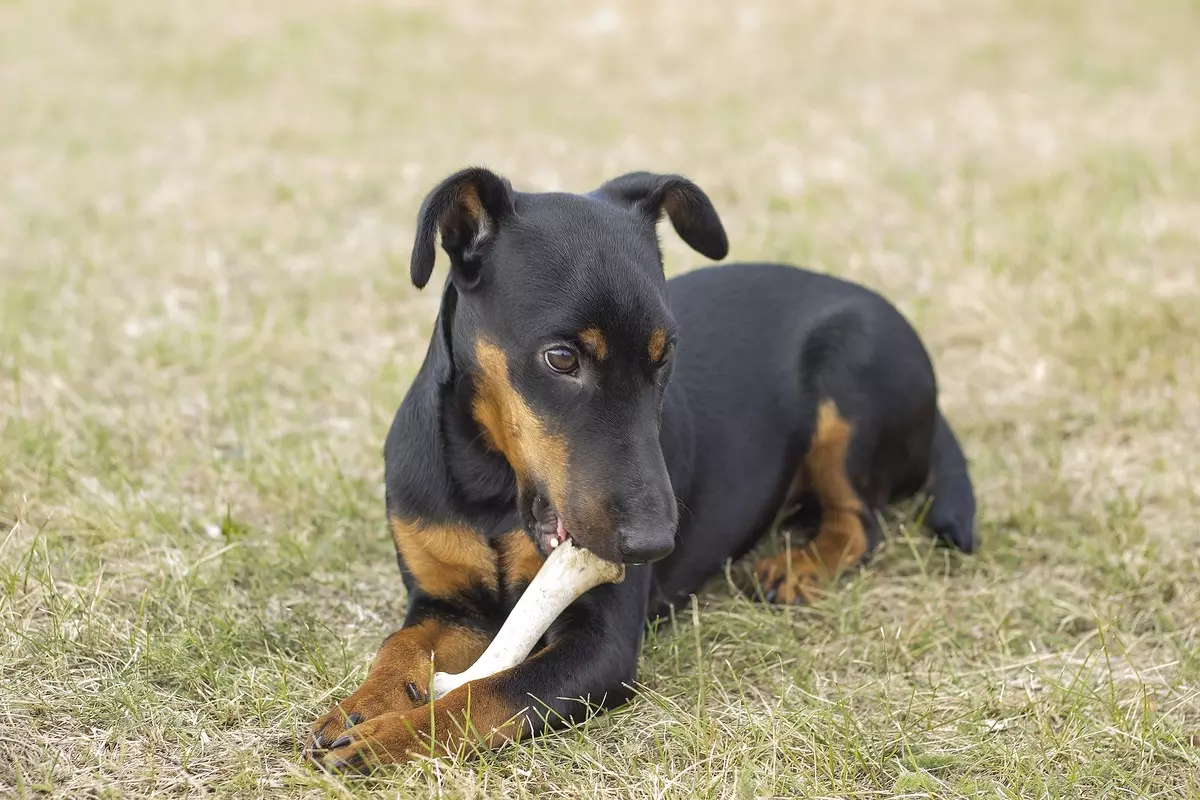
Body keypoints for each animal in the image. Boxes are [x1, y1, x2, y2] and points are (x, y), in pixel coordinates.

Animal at [302, 167, 974, 767]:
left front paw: (385, 741)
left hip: (851, 373)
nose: (652, 544)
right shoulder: (445, 603)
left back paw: (798, 565)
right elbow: (401, 643)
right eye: (560, 358)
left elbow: (485, 695)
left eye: (665, 354)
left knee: (861, 521)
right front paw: (363, 706)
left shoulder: (603, 643)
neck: (489, 485)